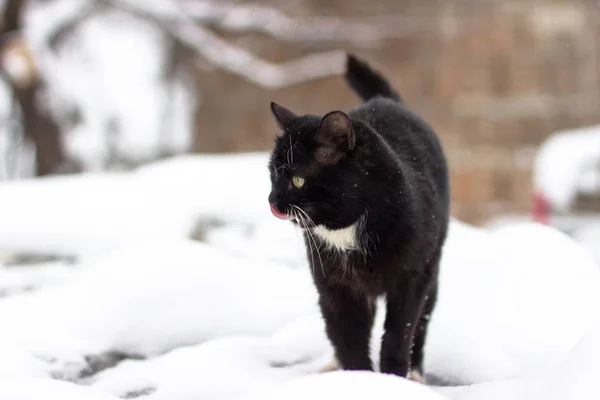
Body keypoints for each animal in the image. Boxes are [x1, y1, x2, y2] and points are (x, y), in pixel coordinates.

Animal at [268, 54, 450, 382]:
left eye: (298, 180)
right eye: (272, 175)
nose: (272, 200)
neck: (345, 229)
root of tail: (385, 100)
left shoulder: (412, 278)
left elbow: (399, 333)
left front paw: (393, 378)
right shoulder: (333, 285)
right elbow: (347, 335)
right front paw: (359, 378)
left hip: (433, 263)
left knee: (423, 320)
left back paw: (416, 373)